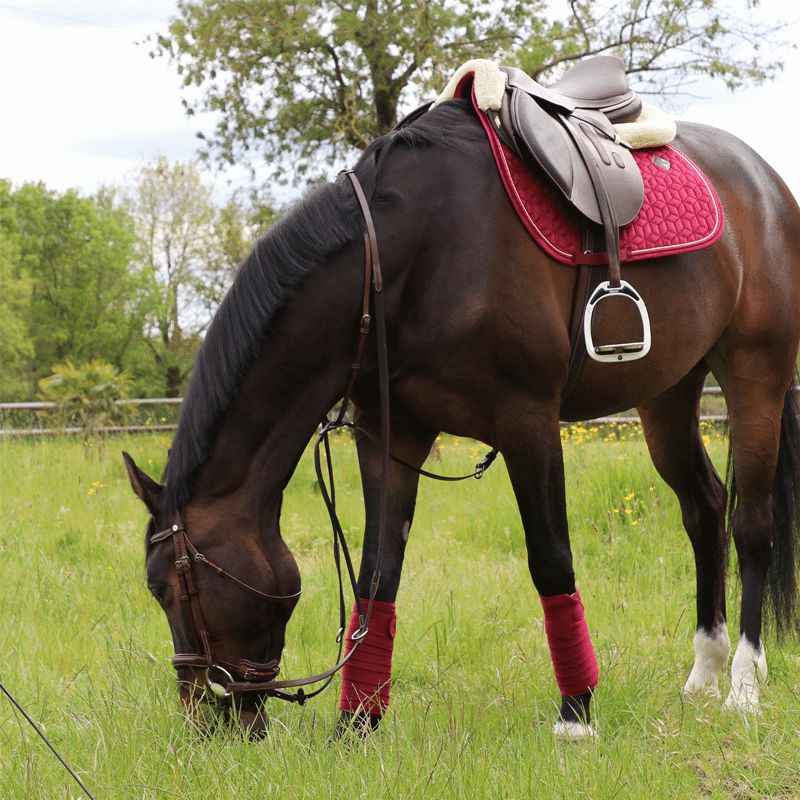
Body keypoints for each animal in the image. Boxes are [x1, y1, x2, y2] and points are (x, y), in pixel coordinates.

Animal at [122, 97, 800, 740]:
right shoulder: (391, 434)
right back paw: (703, 674)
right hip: (667, 392)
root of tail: (764, 181)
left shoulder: (528, 421)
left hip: (755, 374)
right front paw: (357, 724)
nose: (201, 719)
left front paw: (576, 713)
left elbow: (551, 561)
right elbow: (377, 576)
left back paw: (743, 684)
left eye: (167, 587)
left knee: (750, 525)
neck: (405, 255)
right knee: (704, 509)